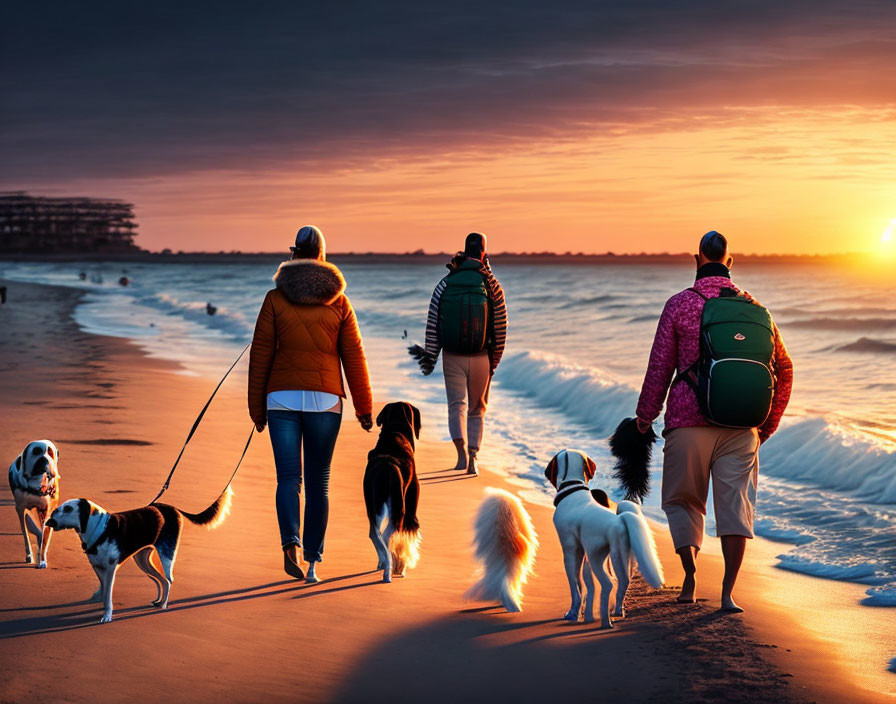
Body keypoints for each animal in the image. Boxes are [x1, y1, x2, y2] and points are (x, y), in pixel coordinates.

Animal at [8, 438, 61, 568]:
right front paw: (30, 555)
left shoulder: (46, 510)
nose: (44, 459)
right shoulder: (21, 509)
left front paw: (42, 559)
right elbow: (26, 534)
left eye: (50, 452)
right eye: (36, 451)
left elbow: (44, 537)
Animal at [46, 486, 231, 624]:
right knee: (160, 580)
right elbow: (103, 589)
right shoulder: (98, 567)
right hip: (142, 560)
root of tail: (173, 509)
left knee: (168, 580)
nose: (49, 521)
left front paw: (107, 615)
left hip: (167, 556)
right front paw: (100, 603)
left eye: (68, 509)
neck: (98, 529)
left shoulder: (110, 569)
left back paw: (163, 606)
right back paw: (158, 601)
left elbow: (108, 594)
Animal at [362, 402, 422, 584]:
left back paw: (383, 564)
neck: (395, 432)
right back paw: (389, 571)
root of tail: (385, 468)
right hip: (399, 510)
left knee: (375, 534)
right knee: (387, 537)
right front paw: (401, 566)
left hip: (373, 507)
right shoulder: (410, 509)